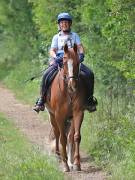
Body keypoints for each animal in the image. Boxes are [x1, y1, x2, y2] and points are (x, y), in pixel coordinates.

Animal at [46, 43, 89, 172]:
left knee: (69, 136)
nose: (72, 84)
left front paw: (76, 164)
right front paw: (65, 165)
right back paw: (57, 155)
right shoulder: (59, 115)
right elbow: (62, 139)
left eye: (78, 62)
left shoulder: (78, 113)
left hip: (69, 118)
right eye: (64, 62)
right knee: (57, 133)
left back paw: (70, 161)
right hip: (52, 116)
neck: (68, 92)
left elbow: (75, 137)